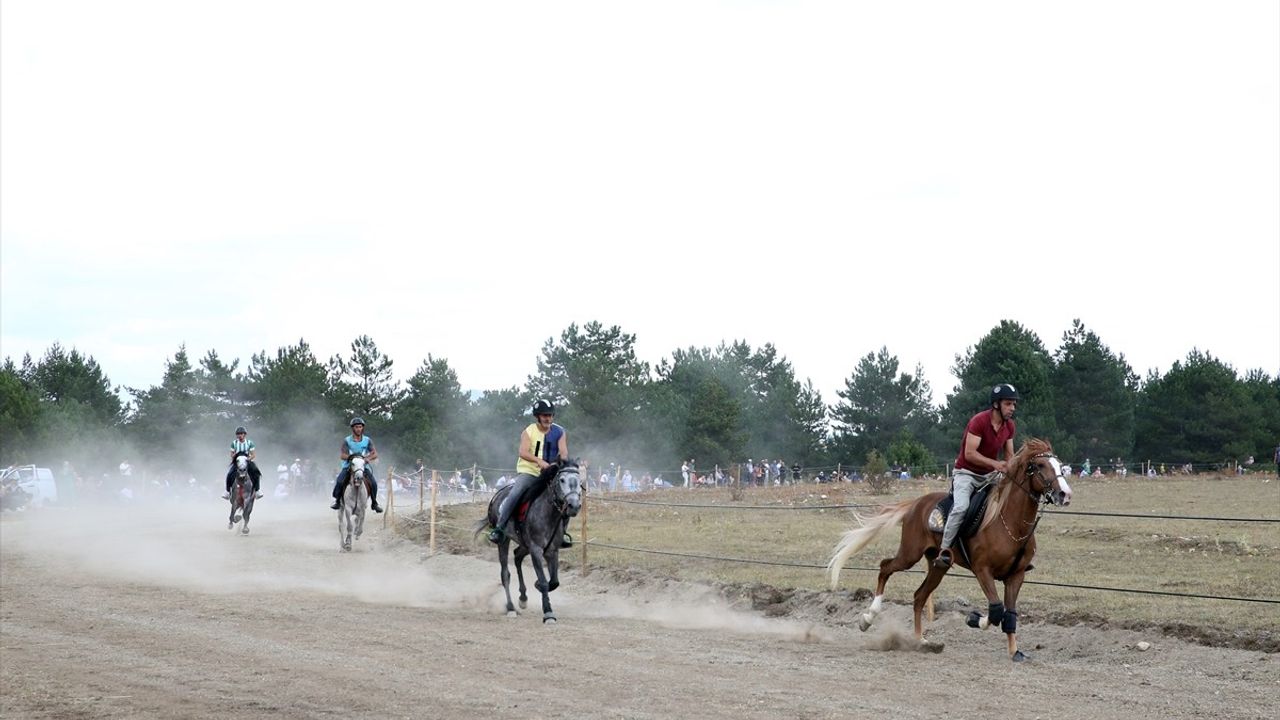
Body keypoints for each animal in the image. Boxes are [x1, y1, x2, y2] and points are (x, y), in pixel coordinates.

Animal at [476, 458, 586, 622]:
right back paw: (511, 608)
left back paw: (523, 598)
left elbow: (554, 581)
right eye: (562, 480)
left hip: (524, 544)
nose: (574, 506)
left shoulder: (552, 550)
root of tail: (498, 494)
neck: (547, 513)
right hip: (504, 541)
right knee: (505, 574)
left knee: (517, 556)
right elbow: (544, 581)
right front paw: (548, 613)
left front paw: (537, 586)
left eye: (579, 481)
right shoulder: (536, 549)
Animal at [829, 435, 1070, 661]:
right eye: (1040, 465)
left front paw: (1015, 652)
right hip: (909, 554)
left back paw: (921, 641)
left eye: (1059, 465)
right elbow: (995, 610)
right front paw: (973, 619)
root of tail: (915, 504)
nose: (1064, 494)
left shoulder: (1016, 575)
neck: (1009, 523)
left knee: (919, 596)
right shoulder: (982, 570)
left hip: (938, 565)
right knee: (885, 567)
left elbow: (1009, 613)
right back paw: (868, 618)